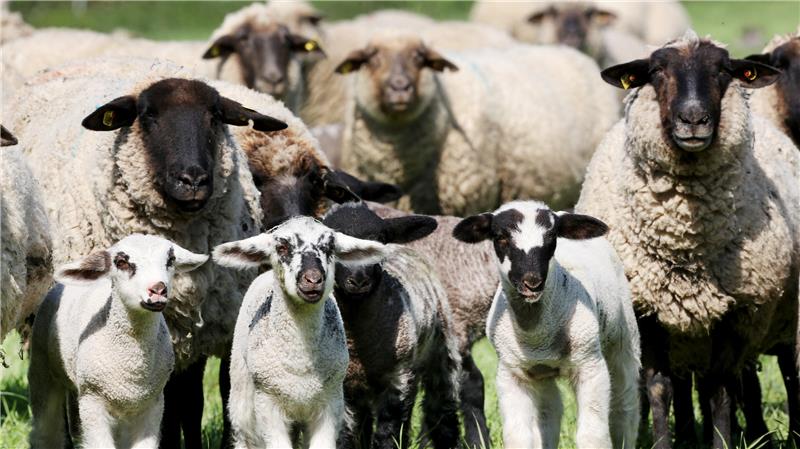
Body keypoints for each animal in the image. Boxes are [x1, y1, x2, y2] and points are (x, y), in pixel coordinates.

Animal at [28, 234, 207, 449]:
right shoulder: (93, 400)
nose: (158, 289)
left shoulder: (152, 404)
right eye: (122, 262)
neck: (132, 366)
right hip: (42, 370)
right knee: (46, 432)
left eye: (170, 260)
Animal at [212, 216, 390, 449]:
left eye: (329, 247)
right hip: (242, 398)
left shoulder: (330, 403)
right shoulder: (268, 404)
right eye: (282, 247)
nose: (313, 279)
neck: (300, 362)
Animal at [321, 202, 461, 449]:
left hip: (441, 351)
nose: (359, 280)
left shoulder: (398, 377)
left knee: (441, 411)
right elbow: (345, 435)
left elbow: (388, 432)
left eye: (380, 239)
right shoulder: (340, 384)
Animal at [453, 200, 640, 449]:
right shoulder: (511, 373)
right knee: (549, 412)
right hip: (541, 373)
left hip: (623, 338)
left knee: (624, 404)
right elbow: (518, 436)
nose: (532, 282)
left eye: (551, 236)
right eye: (501, 237)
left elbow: (592, 435)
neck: (536, 334)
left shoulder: (591, 366)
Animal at [575, 32, 800, 449]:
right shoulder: (648, 312)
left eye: (723, 70)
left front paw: (723, 441)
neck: (685, 239)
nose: (693, 119)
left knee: (790, 372)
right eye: (656, 71)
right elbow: (659, 388)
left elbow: (720, 390)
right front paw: (666, 443)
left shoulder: (736, 313)